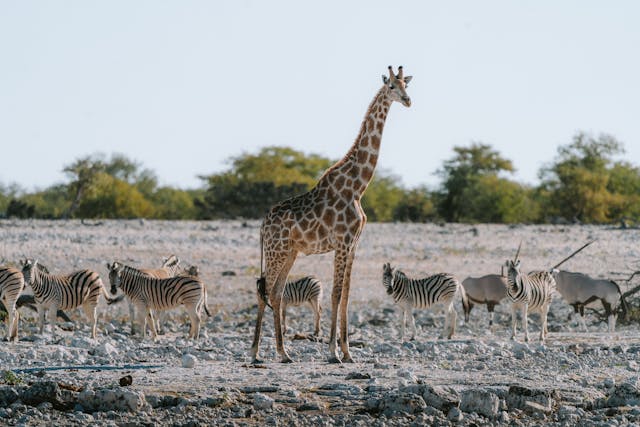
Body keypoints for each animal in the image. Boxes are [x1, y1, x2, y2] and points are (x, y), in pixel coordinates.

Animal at [251, 66, 413, 363]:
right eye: (391, 87)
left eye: (406, 85)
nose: (408, 101)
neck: (358, 187)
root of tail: (262, 226)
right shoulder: (342, 242)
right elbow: (336, 294)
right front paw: (333, 351)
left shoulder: (354, 244)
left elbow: (346, 295)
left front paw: (348, 352)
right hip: (275, 250)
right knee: (264, 289)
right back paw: (255, 352)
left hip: (290, 251)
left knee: (276, 292)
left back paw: (283, 352)